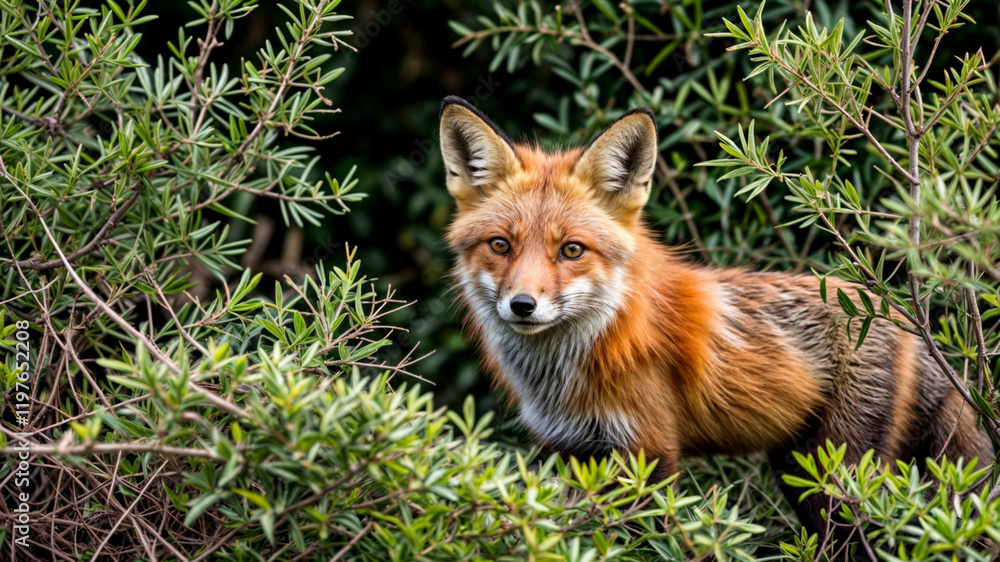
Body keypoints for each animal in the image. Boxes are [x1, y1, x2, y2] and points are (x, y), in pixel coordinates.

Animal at [438, 95, 991, 548]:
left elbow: (637, 540)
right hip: (796, 469)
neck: (566, 371)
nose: (522, 305)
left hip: (834, 475)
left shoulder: (648, 453)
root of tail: (897, 312)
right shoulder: (572, 451)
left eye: (571, 250)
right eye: (500, 245)